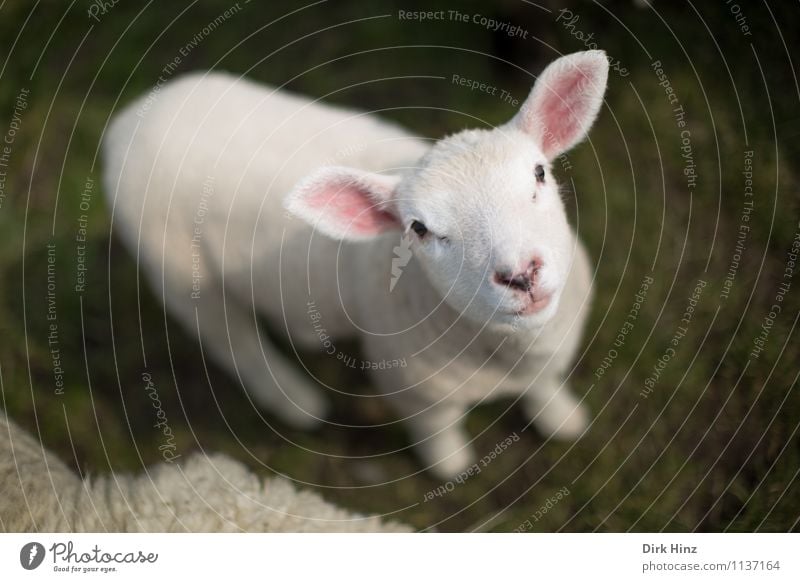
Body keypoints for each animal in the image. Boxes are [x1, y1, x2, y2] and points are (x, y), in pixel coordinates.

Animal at [103, 49, 608, 480]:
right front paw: (451, 468)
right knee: (233, 340)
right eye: (419, 228)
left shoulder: (553, 350)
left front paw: (564, 422)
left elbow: (546, 387)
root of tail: (130, 118)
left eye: (539, 173)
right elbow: (438, 432)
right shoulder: (414, 389)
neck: (506, 353)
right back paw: (298, 403)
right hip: (175, 266)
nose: (521, 274)